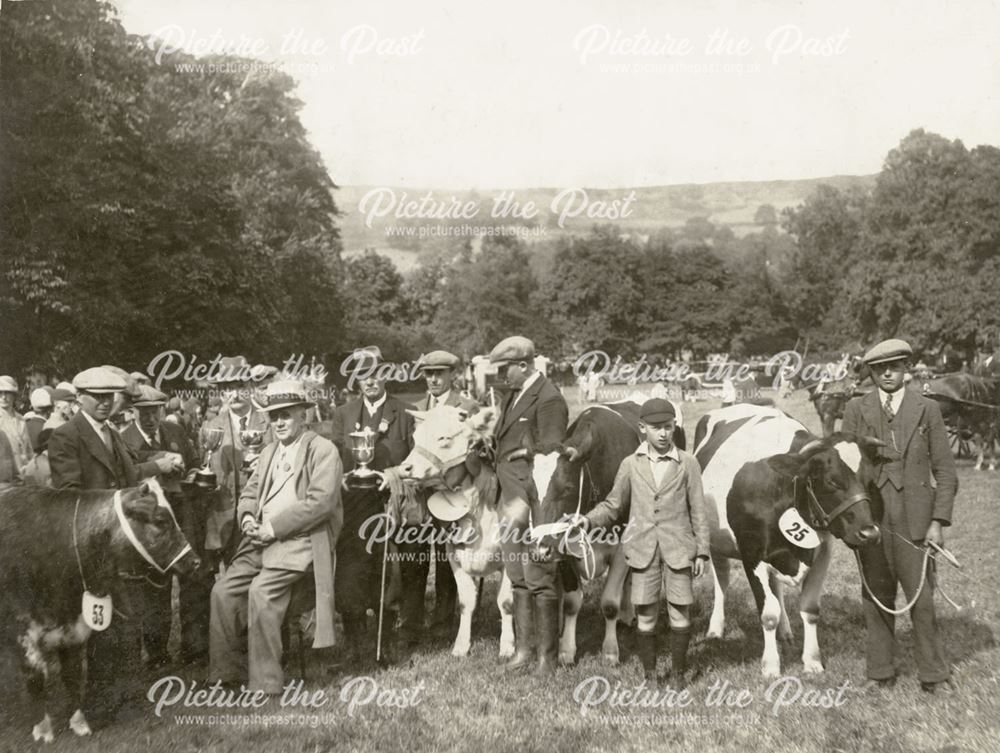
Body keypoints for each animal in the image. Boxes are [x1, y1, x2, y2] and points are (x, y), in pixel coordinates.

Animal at [0, 482, 199, 740]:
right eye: (160, 520)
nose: (195, 561)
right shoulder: (21, 631)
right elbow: (35, 678)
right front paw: (43, 730)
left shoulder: (73, 629)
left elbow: (73, 674)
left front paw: (79, 722)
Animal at [692, 406, 880, 676]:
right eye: (832, 481)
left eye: (870, 480)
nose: (869, 533)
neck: (786, 487)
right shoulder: (752, 555)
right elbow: (768, 612)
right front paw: (771, 666)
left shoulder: (822, 552)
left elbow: (810, 609)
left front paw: (812, 661)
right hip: (715, 539)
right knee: (722, 579)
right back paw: (716, 628)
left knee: (776, 587)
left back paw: (785, 631)